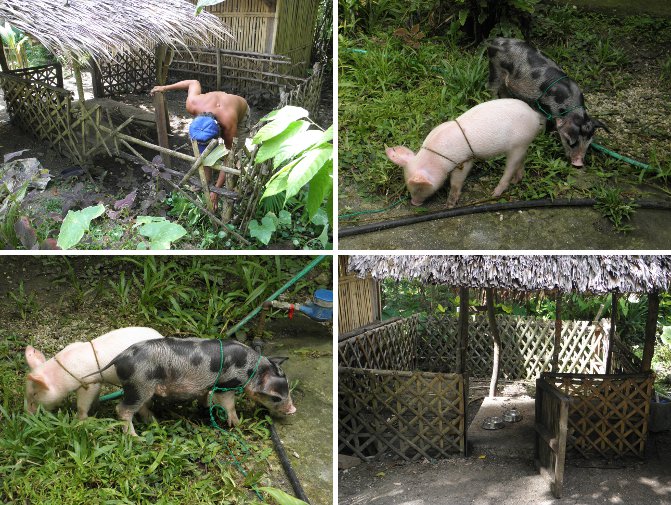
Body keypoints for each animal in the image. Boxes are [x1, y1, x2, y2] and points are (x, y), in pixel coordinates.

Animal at [25, 326, 165, 418]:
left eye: (35, 395)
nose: (27, 416)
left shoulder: (89, 383)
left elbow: (82, 406)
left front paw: (80, 420)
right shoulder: (97, 381)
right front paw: (96, 409)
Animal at [91, 334, 294, 434]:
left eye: (288, 388)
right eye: (276, 397)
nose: (293, 410)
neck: (252, 369)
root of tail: (120, 357)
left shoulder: (208, 386)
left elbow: (204, 396)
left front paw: (205, 409)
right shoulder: (226, 385)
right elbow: (229, 404)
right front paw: (237, 425)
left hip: (142, 388)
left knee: (138, 408)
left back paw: (154, 421)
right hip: (138, 385)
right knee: (122, 409)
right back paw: (135, 438)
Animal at [386, 97, 548, 208]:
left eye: (419, 188)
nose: (414, 203)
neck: (436, 158)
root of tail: (535, 115)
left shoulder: (463, 161)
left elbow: (456, 182)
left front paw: (449, 205)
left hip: (519, 144)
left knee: (510, 167)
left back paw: (494, 193)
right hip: (523, 145)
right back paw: (517, 180)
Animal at [488, 38, 608, 167]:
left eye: (588, 143)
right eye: (571, 143)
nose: (578, 164)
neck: (568, 110)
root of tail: (496, 41)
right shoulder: (539, 106)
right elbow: (542, 123)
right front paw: (541, 136)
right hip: (495, 68)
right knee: (491, 87)